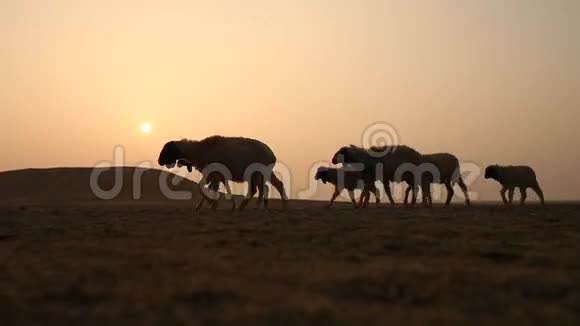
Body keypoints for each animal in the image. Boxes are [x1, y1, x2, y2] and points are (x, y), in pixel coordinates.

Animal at [159, 135, 288, 209]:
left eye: (168, 149)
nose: (159, 161)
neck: (199, 150)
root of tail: (272, 154)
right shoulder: (212, 174)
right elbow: (203, 187)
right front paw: (206, 205)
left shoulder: (215, 174)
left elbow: (210, 188)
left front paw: (212, 204)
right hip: (261, 173)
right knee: (273, 185)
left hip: (257, 173)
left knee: (260, 189)